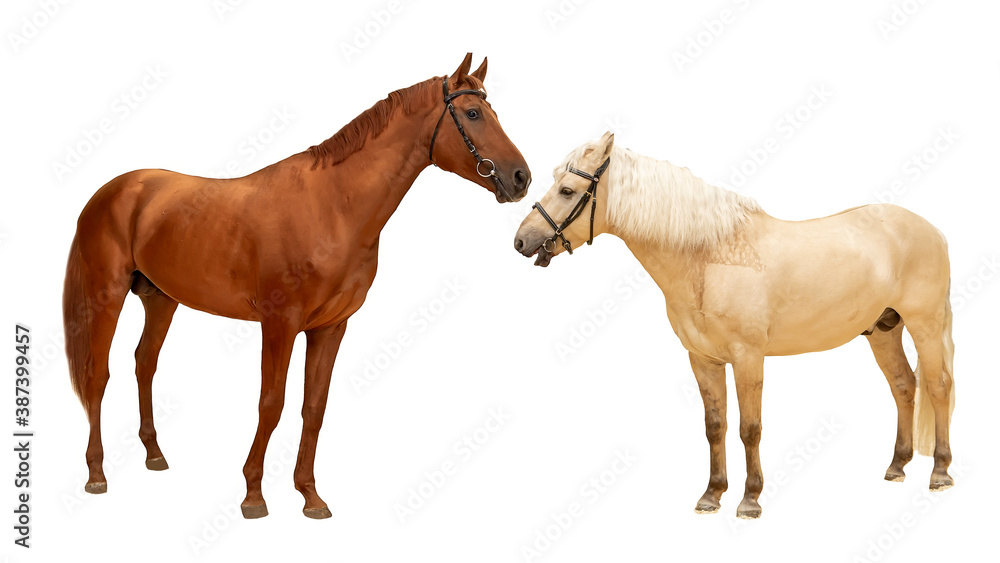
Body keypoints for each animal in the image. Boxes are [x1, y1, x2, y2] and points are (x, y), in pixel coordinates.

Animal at [63, 53, 531, 519]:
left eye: (491, 111)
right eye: (472, 113)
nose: (520, 178)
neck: (333, 206)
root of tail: (113, 190)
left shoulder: (330, 327)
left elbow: (314, 408)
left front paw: (310, 495)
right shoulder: (280, 324)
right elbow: (271, 404)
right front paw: (253, 495)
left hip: (161, 299)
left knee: (145, 363)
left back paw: (155, 455)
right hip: (107, 297)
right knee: (97, 375)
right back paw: (96, 474)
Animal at [514, 132, 954, 519]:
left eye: (567, 190)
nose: (521, 241)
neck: (710, 257)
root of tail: (933, 230)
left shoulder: (748, 358)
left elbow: (750, 428)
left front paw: (750, 500)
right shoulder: (703, 359)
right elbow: (715, 426)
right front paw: (712, 495)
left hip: (925, 326)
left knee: (937, 387)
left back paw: (940, 472)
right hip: (884, 330)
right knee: (904, 385)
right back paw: (897, 466)